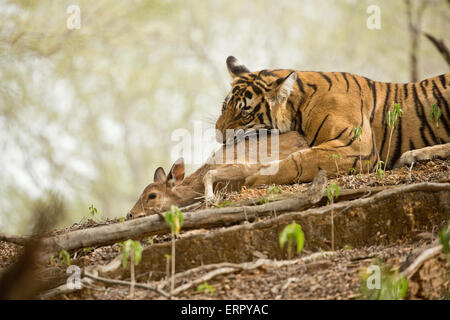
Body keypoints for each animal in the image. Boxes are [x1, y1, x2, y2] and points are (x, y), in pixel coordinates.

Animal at [216, 55, 448, 185]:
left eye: (244, 114)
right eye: (224, 107)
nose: (218, 133)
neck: (300, 103)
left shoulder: (356, 145)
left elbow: (302, 159)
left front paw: (257, 177)